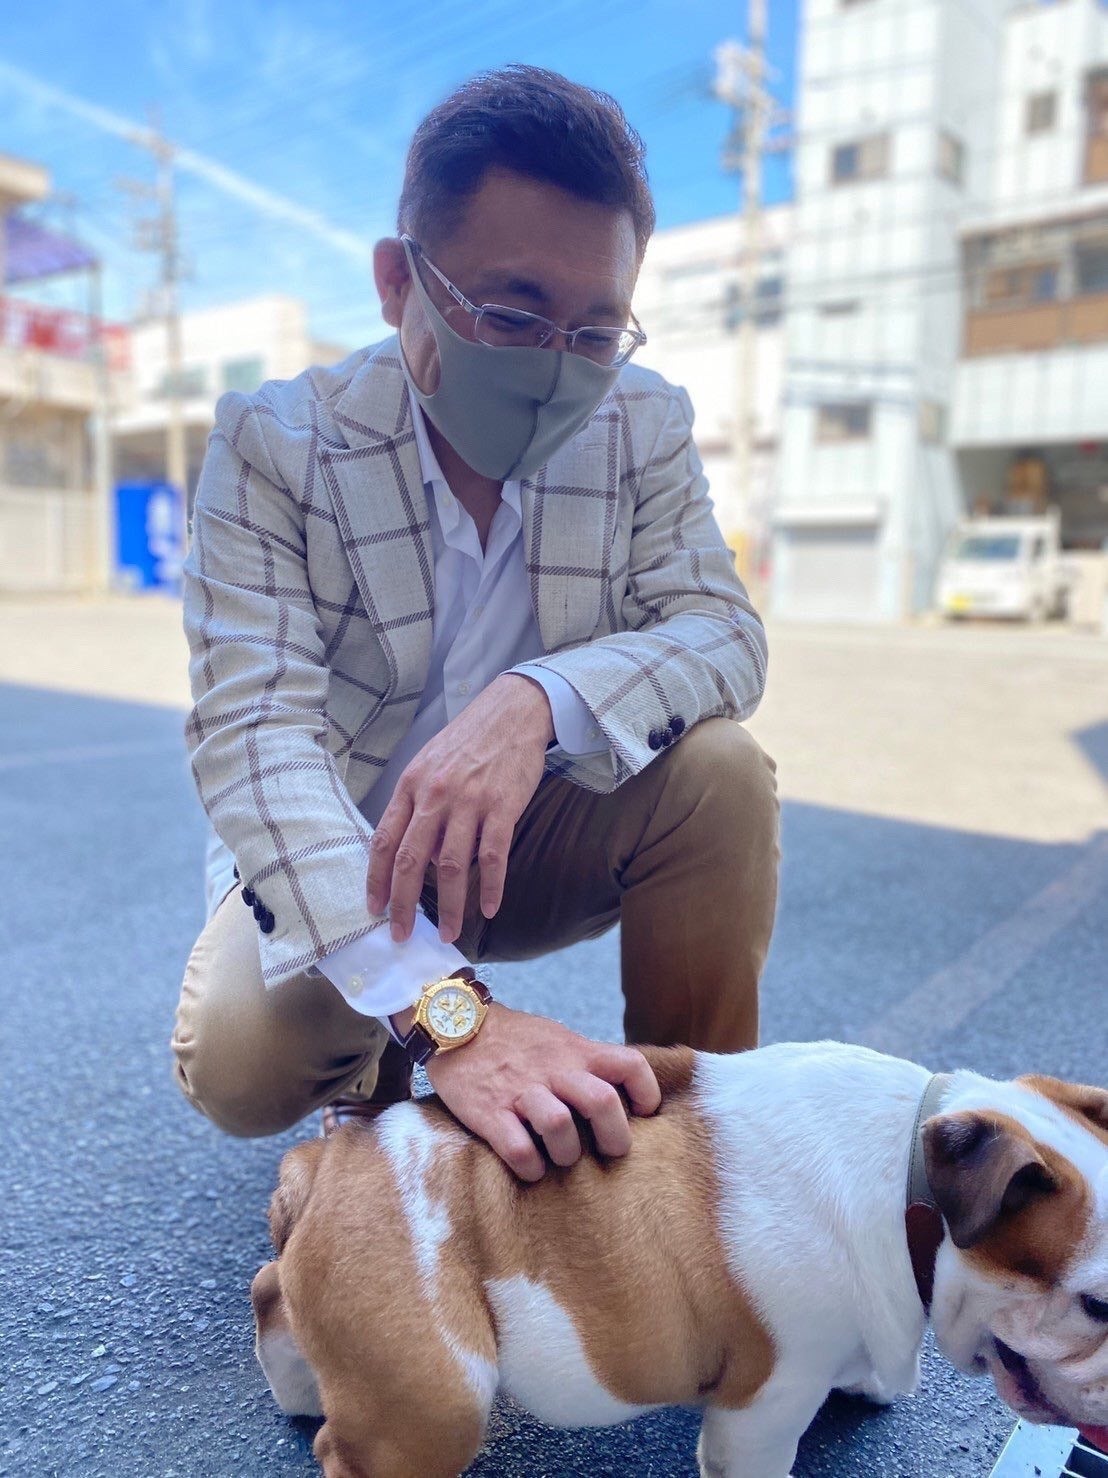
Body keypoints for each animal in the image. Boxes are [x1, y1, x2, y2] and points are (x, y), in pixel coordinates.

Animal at [249, 1042, 1108, 1477]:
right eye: (1098, 1306)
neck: (912, 1182)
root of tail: (329, 1162)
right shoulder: (762, 1411)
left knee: (268, 1292)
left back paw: (300, 1389)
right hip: (436, 1398)